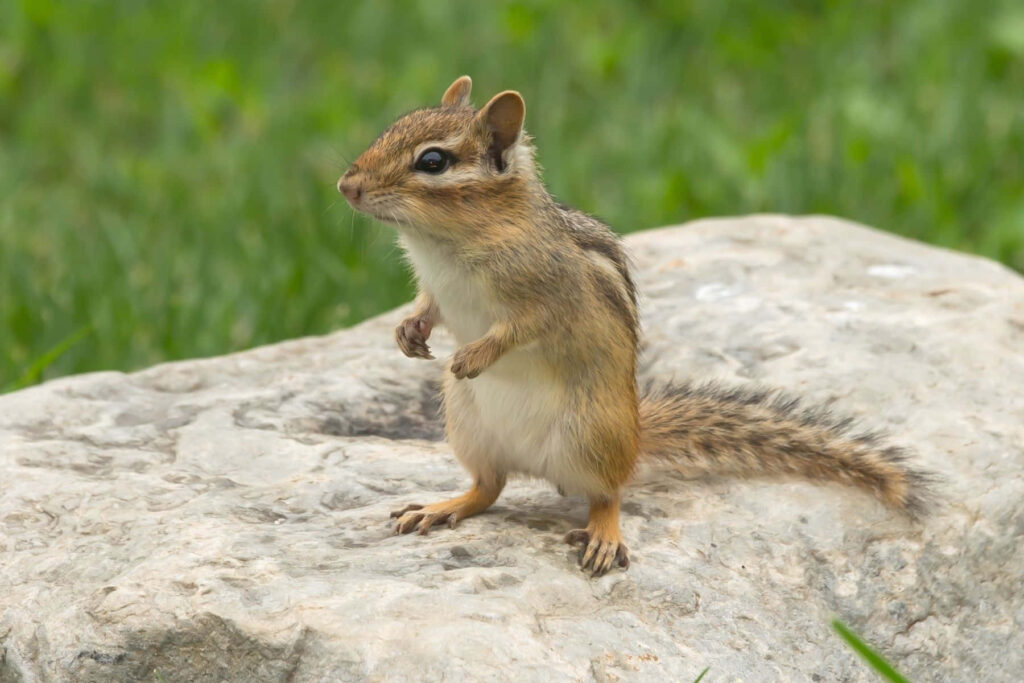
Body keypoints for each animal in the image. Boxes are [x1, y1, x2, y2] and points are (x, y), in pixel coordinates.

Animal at [337, 76, 933, 575]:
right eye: (391, 128)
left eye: (433, 161)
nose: (346, 186)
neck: (447, 242)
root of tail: (635, 433)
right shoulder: (436, 288)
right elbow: (429, 306)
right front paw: (408, 333)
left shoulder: (551, 294)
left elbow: (521, 329)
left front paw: (473, 354)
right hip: (468, 428)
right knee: (488, 489)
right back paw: (444, 505)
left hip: (590, 434)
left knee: (608, 493)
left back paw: (603, 533)